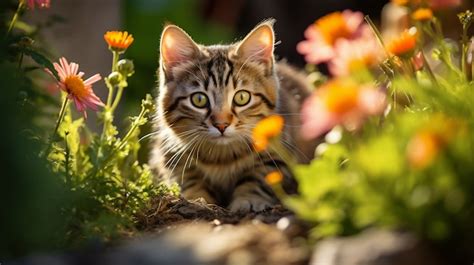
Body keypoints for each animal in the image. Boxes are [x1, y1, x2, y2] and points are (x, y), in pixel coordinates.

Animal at [150, 19, 316, 211]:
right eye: (199, 99)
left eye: (242, 97)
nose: (221, 125)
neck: (222, 157)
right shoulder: (169, 151)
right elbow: (188, 178)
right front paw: (195, 199)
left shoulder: (278, 149)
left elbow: (259, 176)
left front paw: (248, 199)